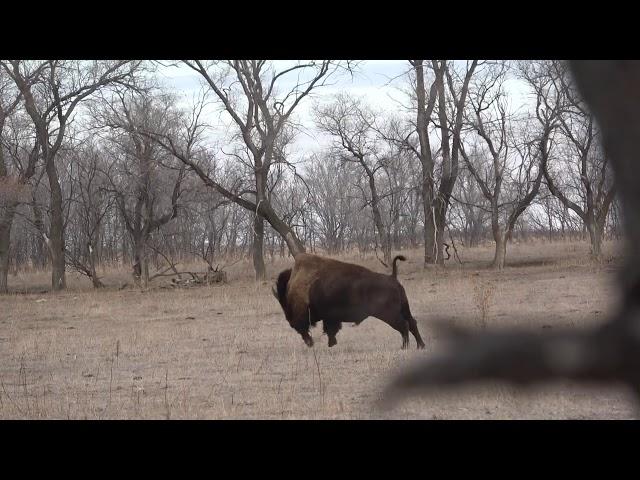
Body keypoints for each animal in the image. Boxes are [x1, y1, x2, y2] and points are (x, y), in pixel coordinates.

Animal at [272, 253, 424, 350]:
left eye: (285, 304)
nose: (290, 322)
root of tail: (392, 277)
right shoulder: (330, 318)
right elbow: (330, 330)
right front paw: (331, 344)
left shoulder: (324, 317)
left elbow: (327, 330)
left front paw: (327, 343)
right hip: (404, 309)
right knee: (412, 323)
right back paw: (420, 346)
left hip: (389, 314)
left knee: (404, 325)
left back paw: (404, 347)